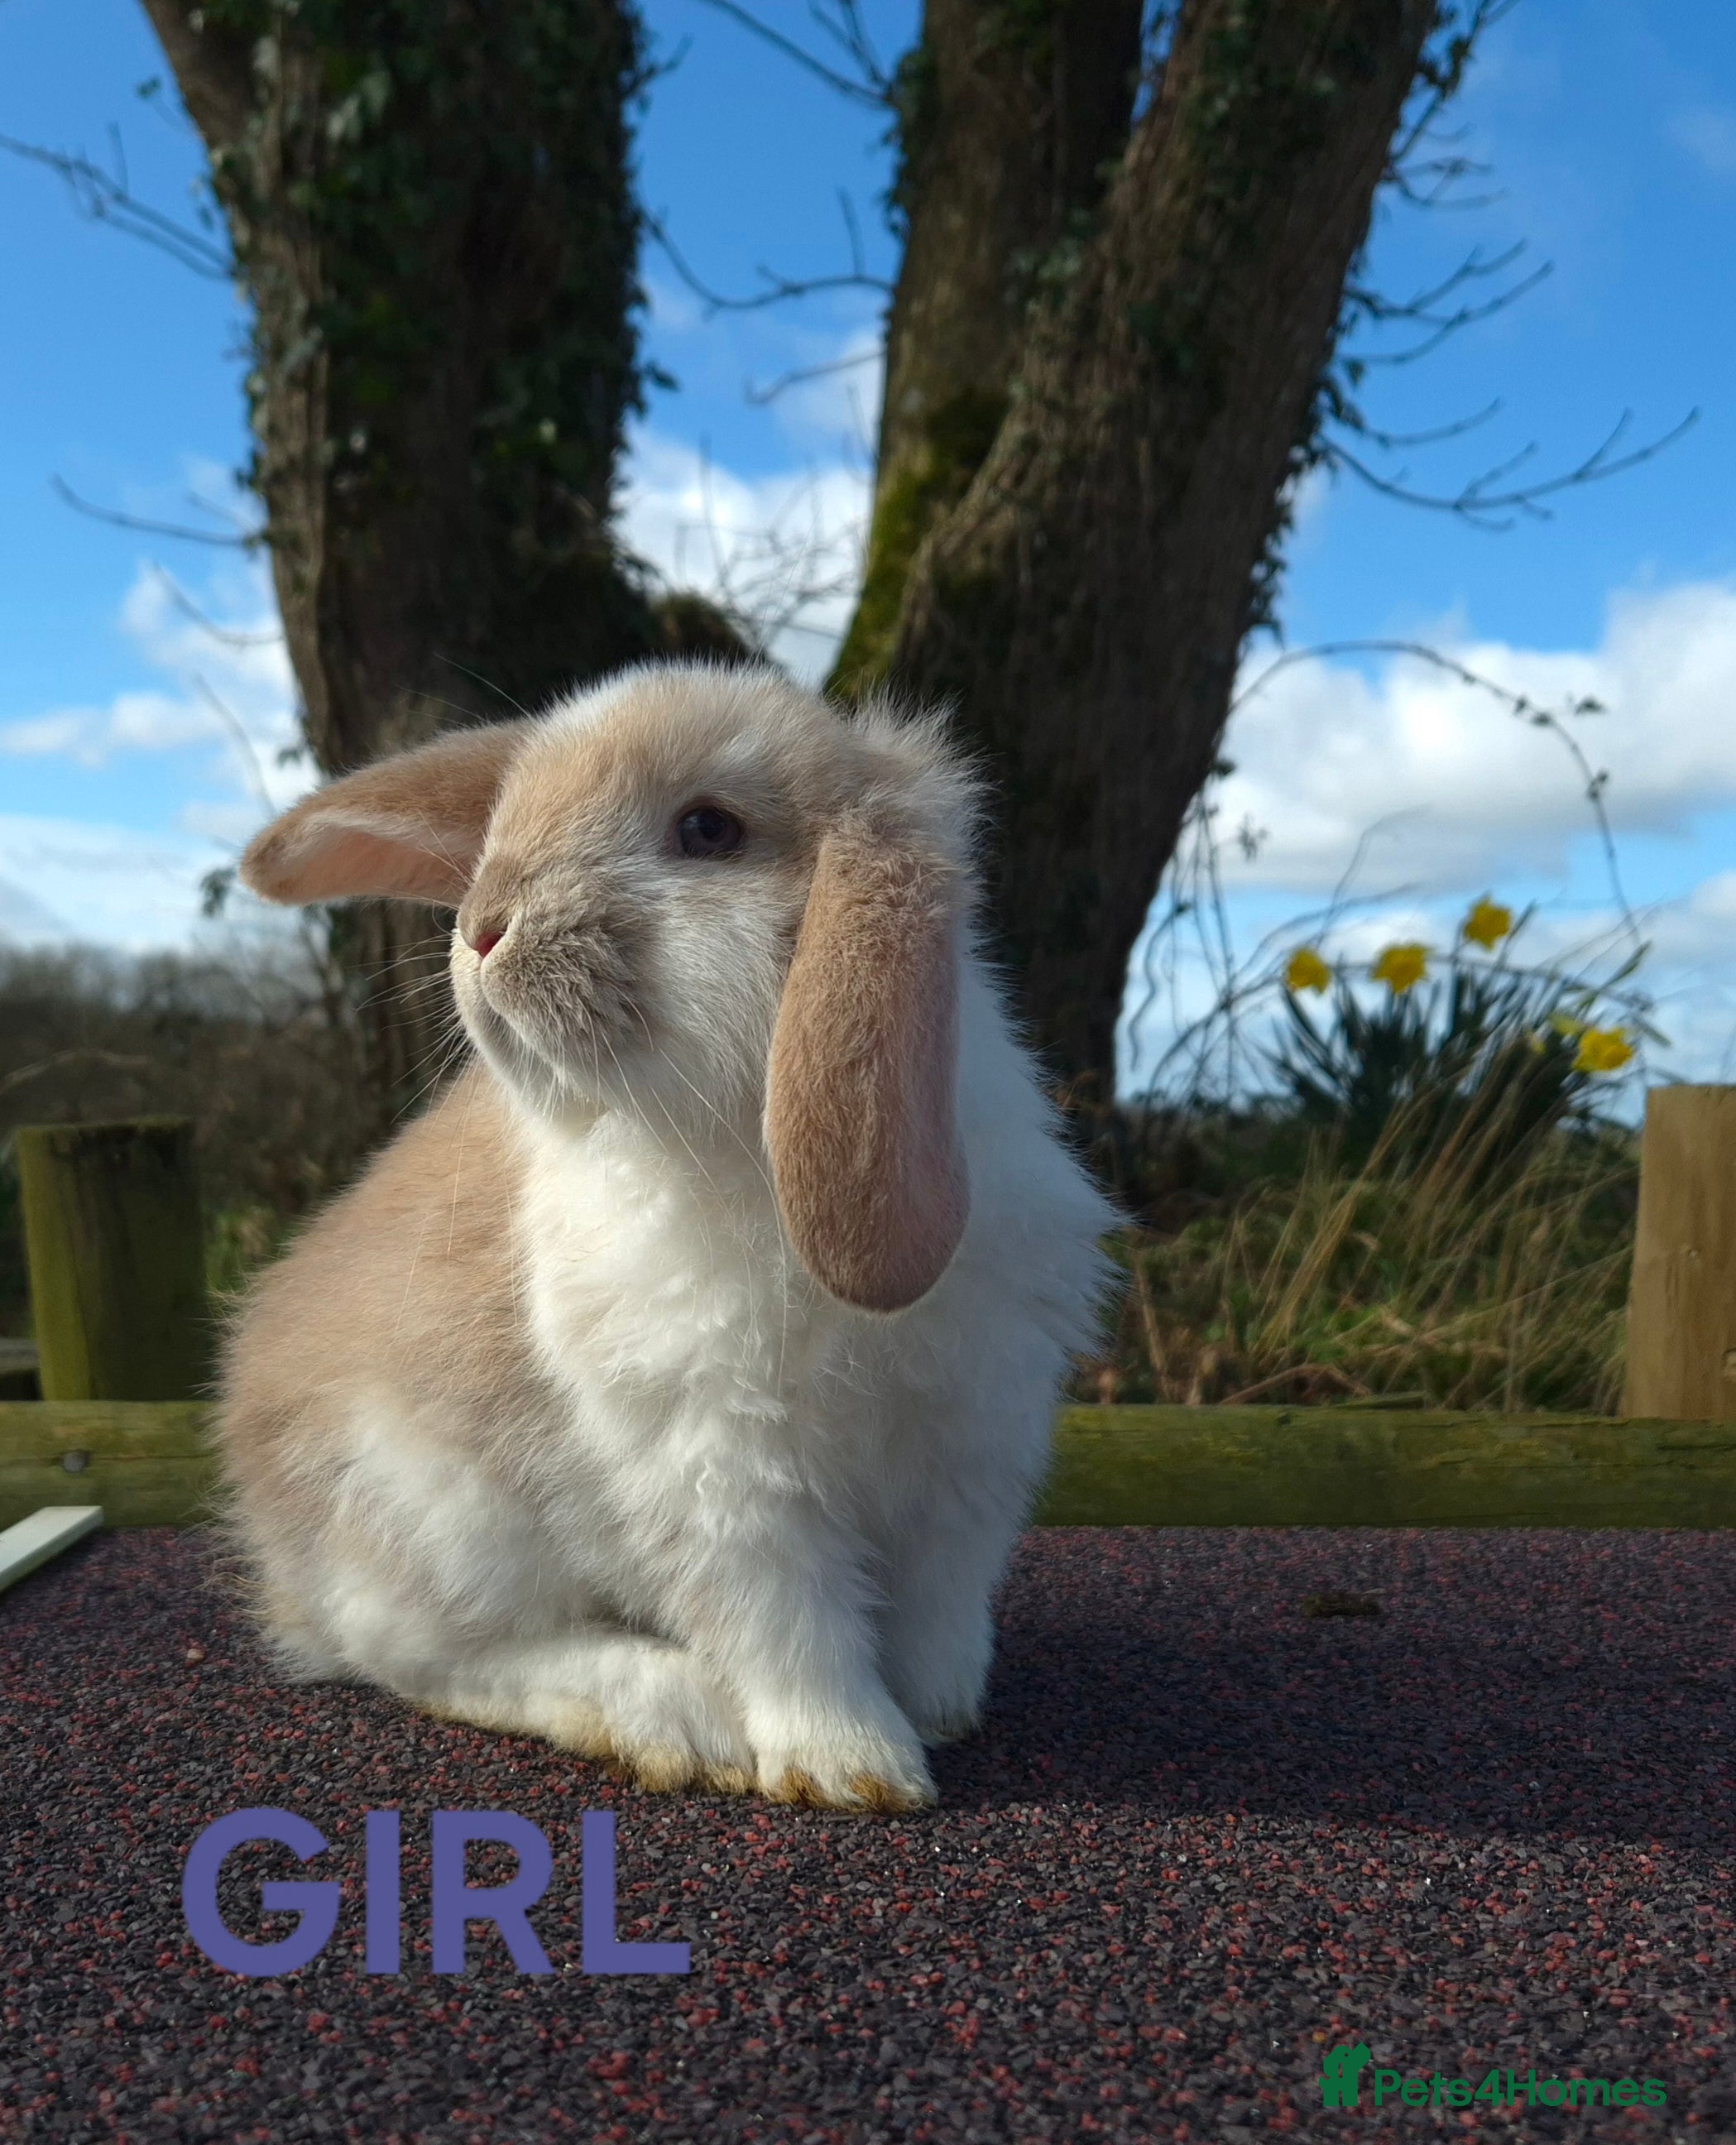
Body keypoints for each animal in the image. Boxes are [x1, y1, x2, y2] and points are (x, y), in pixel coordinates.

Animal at [220, 659, 1115, 1812]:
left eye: (707, 830)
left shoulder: (969, 1451)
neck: (732, 1143)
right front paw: (854, 1768)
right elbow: (788, 1627)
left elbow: (938, 1607)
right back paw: (678, 1717)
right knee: (418, 1655)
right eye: (506, 821)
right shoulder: (723, 1473)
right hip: (434, 1517)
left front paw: (941, 1711)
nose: (483, 926)